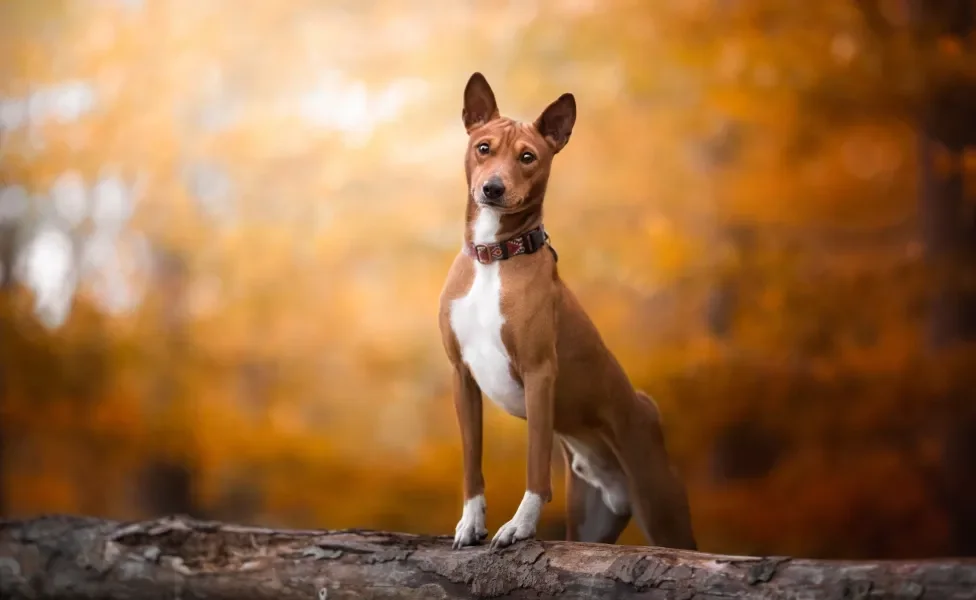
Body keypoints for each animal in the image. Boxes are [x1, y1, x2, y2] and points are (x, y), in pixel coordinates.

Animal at [438, 72, 696, 552]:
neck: (493, 257)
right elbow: (471, 462)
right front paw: (471, 522)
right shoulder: (462, 377)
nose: (493, 188)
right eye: (483, 147)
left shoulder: (539, 372)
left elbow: (536, 462)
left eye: (527, 157)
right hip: (592, 522)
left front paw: (520, 525)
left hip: (663, 510)